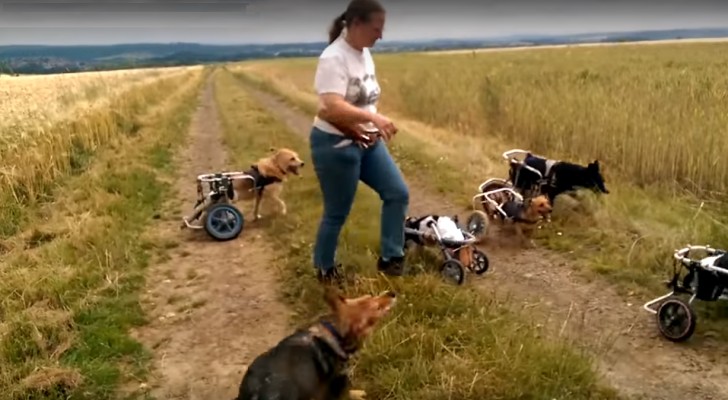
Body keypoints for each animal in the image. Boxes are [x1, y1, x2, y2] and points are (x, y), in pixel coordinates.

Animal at [235, 288, 398, 400]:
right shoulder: (332, 388)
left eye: (369, 296)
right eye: (377, 308)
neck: (335, 332)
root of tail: (258, 392)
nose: (392, 293)